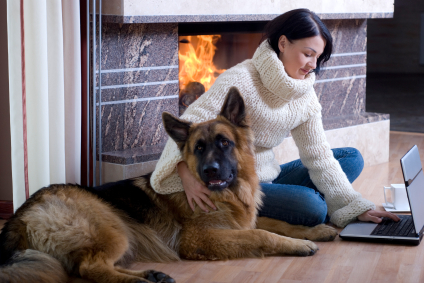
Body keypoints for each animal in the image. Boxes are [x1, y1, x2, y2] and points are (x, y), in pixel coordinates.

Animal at [0, 87, 338, 282]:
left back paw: (151, 275)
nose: (211, 171)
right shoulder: (204, 239)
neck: (227, 196)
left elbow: (279, 223)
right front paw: (299, 245)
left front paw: (314, 232)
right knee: (89, 268)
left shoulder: (242, 220)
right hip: (112, 227)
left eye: (224, 143)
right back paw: (140, 282)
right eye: (198, 148)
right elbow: (262, 235)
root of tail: (21, 212)